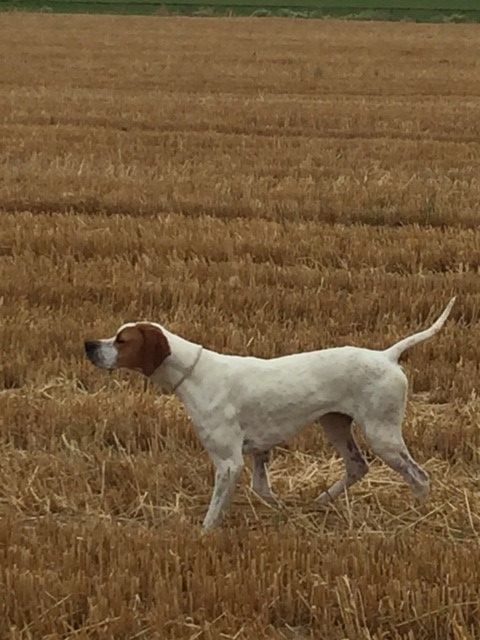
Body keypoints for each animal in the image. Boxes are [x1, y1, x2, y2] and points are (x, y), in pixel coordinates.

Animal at [84, 298, 456, 528]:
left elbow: (213, 513)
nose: (89, 345)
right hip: (335, 425)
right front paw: (283, 513)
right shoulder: (258, 452)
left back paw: (419, 513)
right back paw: (321, 500)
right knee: (357, 466)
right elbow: (263, 489)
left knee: (419, 477)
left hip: (382, 434)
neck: (196, 374)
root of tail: (387, 355)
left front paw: (203, 535)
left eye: (122, 340)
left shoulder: (228, 461)